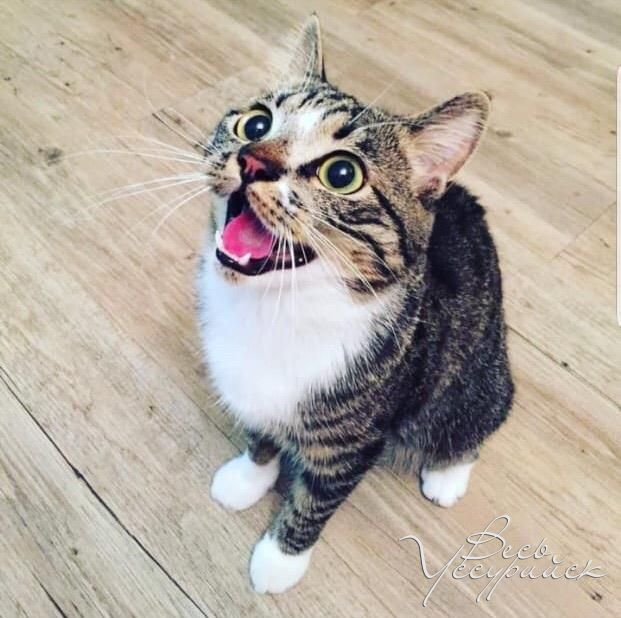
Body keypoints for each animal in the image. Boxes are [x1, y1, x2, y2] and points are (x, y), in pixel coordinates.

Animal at [197, 15, 513, 594]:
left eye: (341, 174)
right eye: (256, 124)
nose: (251, 161)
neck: (277, 309)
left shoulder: (354, 439)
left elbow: (317, 500)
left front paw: (280, 559)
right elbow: (260, 433)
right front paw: (248, 477)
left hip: (477, 376)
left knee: (471, 420)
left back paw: (447, 473)